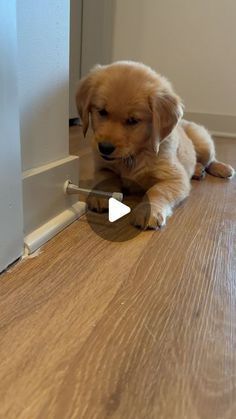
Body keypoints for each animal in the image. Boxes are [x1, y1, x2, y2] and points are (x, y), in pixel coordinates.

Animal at [76, 61, 235, 230]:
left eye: (133, 120)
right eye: (102, 112)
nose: (104, 148)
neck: (136, 154)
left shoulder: (175, 178)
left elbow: (157, 191)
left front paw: (147, 211)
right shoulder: (103, 166)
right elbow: (105, 179)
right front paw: (100, 196)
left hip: (203, 143)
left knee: (211, 160)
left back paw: (223, 168)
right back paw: (198, 170)